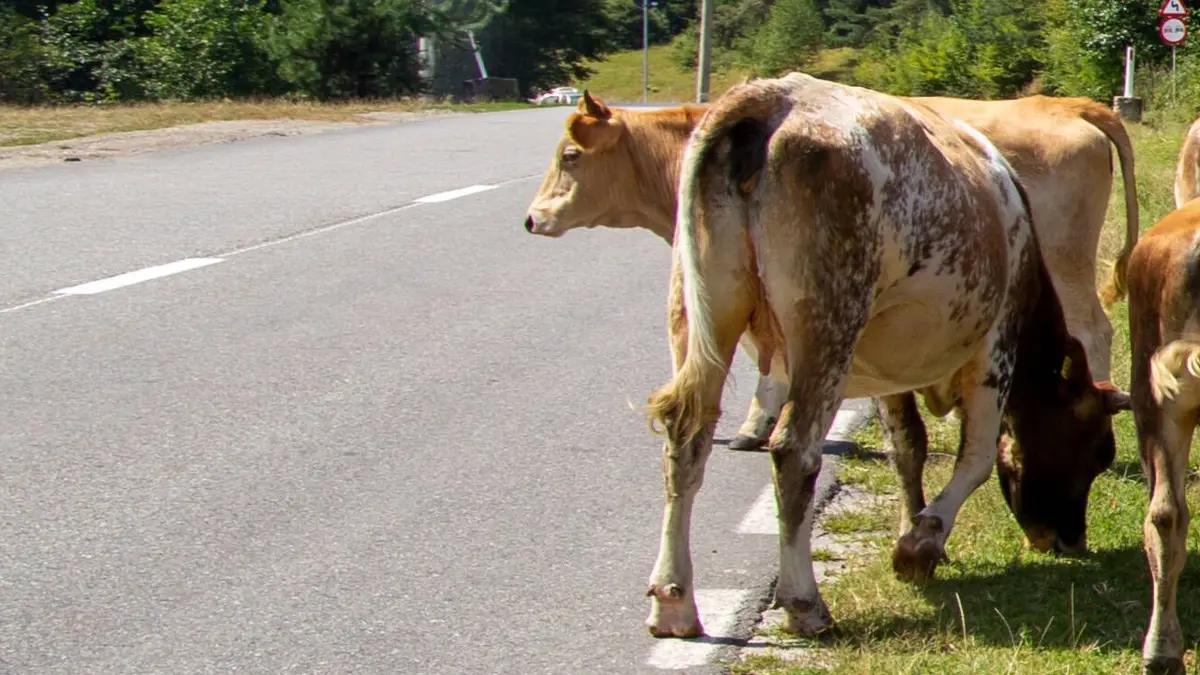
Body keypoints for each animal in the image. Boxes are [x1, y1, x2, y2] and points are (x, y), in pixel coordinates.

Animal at [524, 89, 1138, 553]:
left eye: (570, 155)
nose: (531, 219)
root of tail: (1066, 103)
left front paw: (754, 426)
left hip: (1064, 258)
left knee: (1094, 327)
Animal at [639, 72, 1130, 640]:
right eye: (1097, 451)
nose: (1071, 540)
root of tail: (772, 99)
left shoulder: (889, 369)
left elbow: (908, 446)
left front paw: (914, 529)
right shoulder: (996, 345)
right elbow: (977, 457)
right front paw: (921, 542)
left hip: (701, 311)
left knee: (687, 431)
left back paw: (673, 601)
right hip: (829, 323)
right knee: (794, 450)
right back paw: (804, 603)